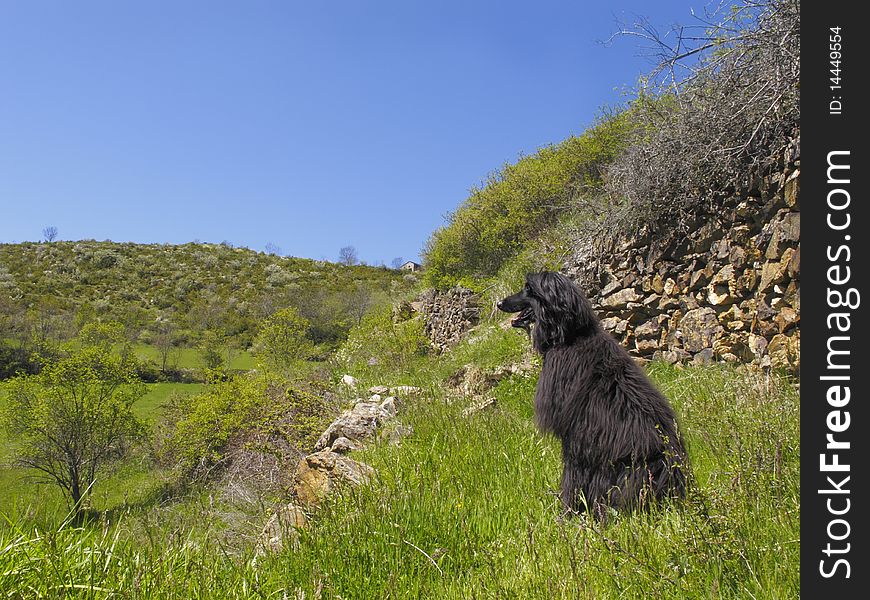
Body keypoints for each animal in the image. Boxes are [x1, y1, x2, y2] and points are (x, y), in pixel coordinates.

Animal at [498, 272, 688, 516]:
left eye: (528, 289)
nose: (499, 303)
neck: (571, 336)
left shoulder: (575, 436)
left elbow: (571, 476)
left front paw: (567, 512)